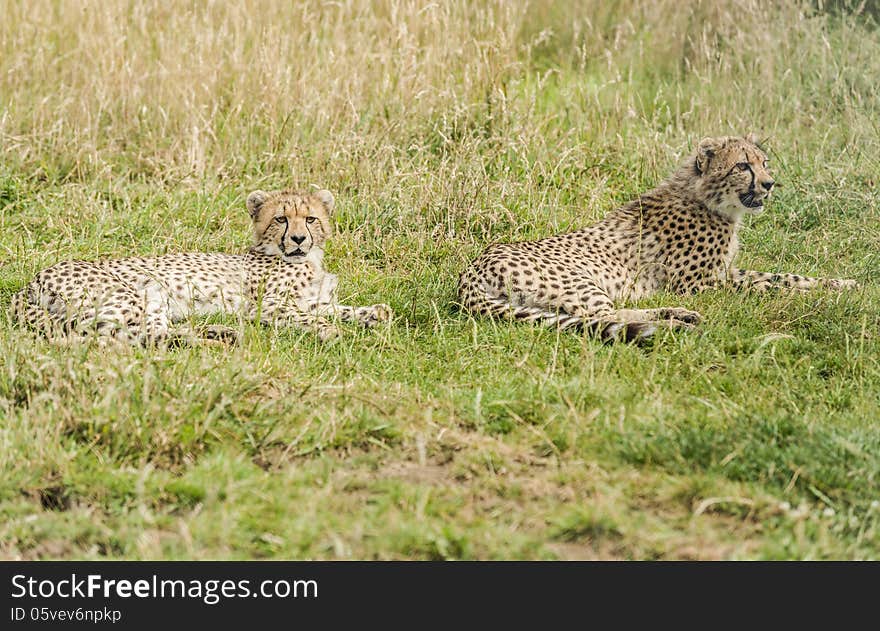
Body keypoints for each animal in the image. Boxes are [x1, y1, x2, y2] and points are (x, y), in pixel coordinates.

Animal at [11, 188, 392, 346]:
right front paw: (331, 332)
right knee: (126, 336)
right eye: (281, 219)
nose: (298, 239)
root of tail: (34, 277)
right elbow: (311, 318)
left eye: (311, 219)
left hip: (152, 300)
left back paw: (219, 333)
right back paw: (218, 339)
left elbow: (340, 309)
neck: (307, 260)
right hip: (129, 296)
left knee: (149, 333)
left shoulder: (314, 301)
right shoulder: (267, 306)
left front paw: (374, 313)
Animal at [460, 132, 860, 340]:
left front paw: (841, 285)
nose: (770, 184)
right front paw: (819, 295)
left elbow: (781, 275)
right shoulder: (701, 284)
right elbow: (766, 286)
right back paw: (673, 323)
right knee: (609, 316)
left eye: (764, 163)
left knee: (613, 313)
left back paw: (678, 316)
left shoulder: (722, 272)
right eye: (742, 166)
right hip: (579, 281)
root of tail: (470, 270)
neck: (706, 198)